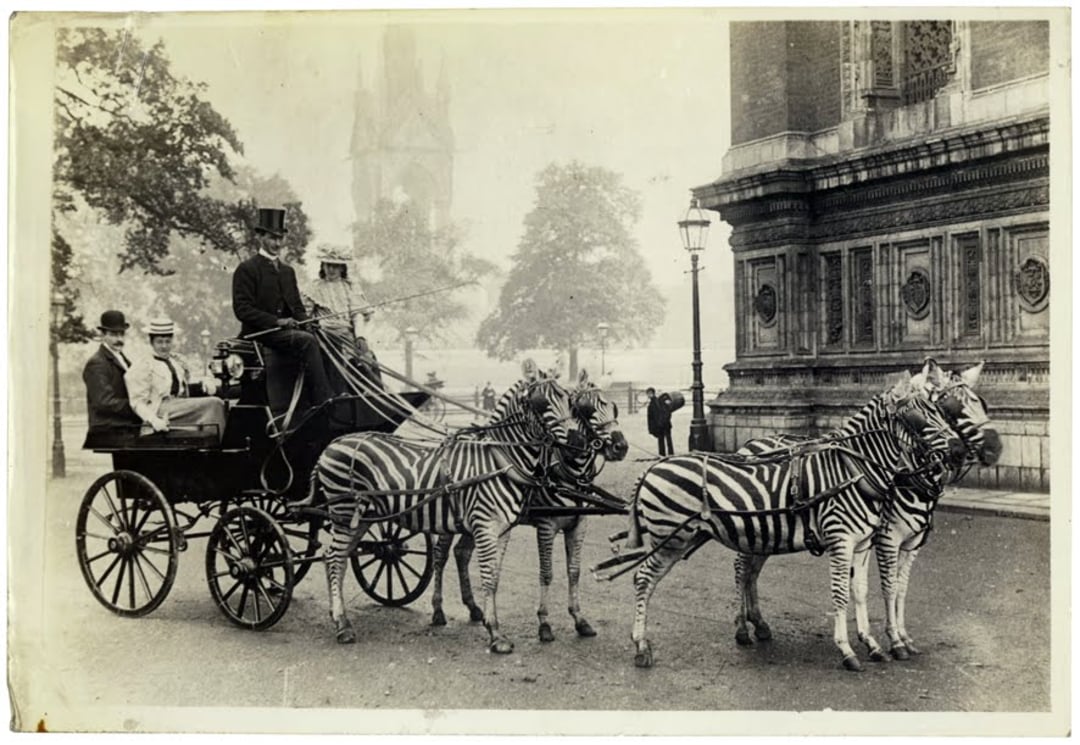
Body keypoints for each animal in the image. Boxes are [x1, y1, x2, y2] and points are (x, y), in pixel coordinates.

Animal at [308, 359, 579, 653]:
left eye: (568, 399)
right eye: (541, 402)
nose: (574, 440)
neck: (500, 459)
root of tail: (332, 444)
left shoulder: (503, 530)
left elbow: (494, 578)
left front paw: (490, 624)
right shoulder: (484, 526)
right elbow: (486, 577)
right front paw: (495, 634)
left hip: (361, 518)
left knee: (338, 558)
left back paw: (337, 616)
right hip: (344, 514)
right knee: (334, 558)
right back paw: (343, 625)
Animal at [430, 369, 630, 643]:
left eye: (614, 407)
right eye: (585, 409)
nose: (621, 447)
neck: (569, 473)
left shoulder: (579, 525)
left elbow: (574, 572)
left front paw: (579, 619)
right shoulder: (546, 525)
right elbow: (546, 572)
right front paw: (544, 623)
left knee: (462, 553)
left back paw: (473, 608)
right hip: (450, 518)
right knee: (440, 556)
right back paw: (438, 610)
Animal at [600, 372, 967, 671]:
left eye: (944, 411)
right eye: (918, 415)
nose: (959, 450)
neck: (853, 469)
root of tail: (652, 467)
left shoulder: (864, 543)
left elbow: (863, 592)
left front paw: (874, 644)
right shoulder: (847, 540)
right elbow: (842, 595)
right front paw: (848, 650)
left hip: (730, 534)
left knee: (738, 571)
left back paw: (750, 629)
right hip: (672, 539)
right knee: (644, 579)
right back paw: (642, 646)